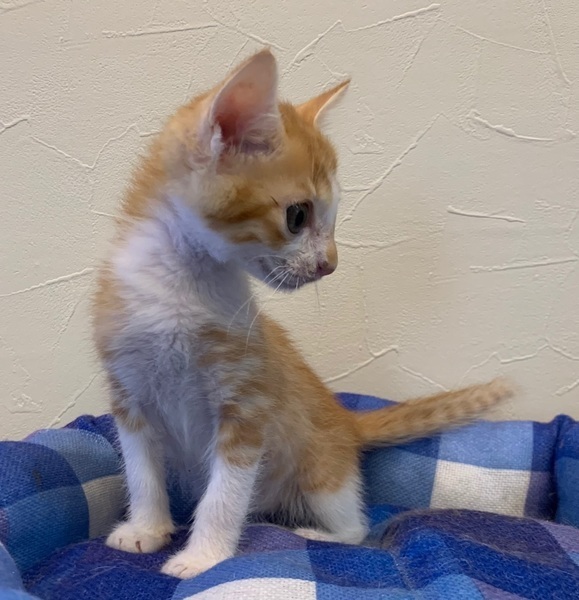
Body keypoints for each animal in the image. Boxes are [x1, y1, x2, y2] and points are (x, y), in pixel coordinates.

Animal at [92, 49, 513, 579]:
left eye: (331, 219)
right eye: (297, 216)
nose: (330, 264)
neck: (179, 285)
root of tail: (345, 420)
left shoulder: (247, 404)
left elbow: (224, 494)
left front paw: (205, 556)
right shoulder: (128, 396)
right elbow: (141, 471)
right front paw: (146, 529)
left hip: (320, 471)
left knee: (357, 526)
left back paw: (319, 534)